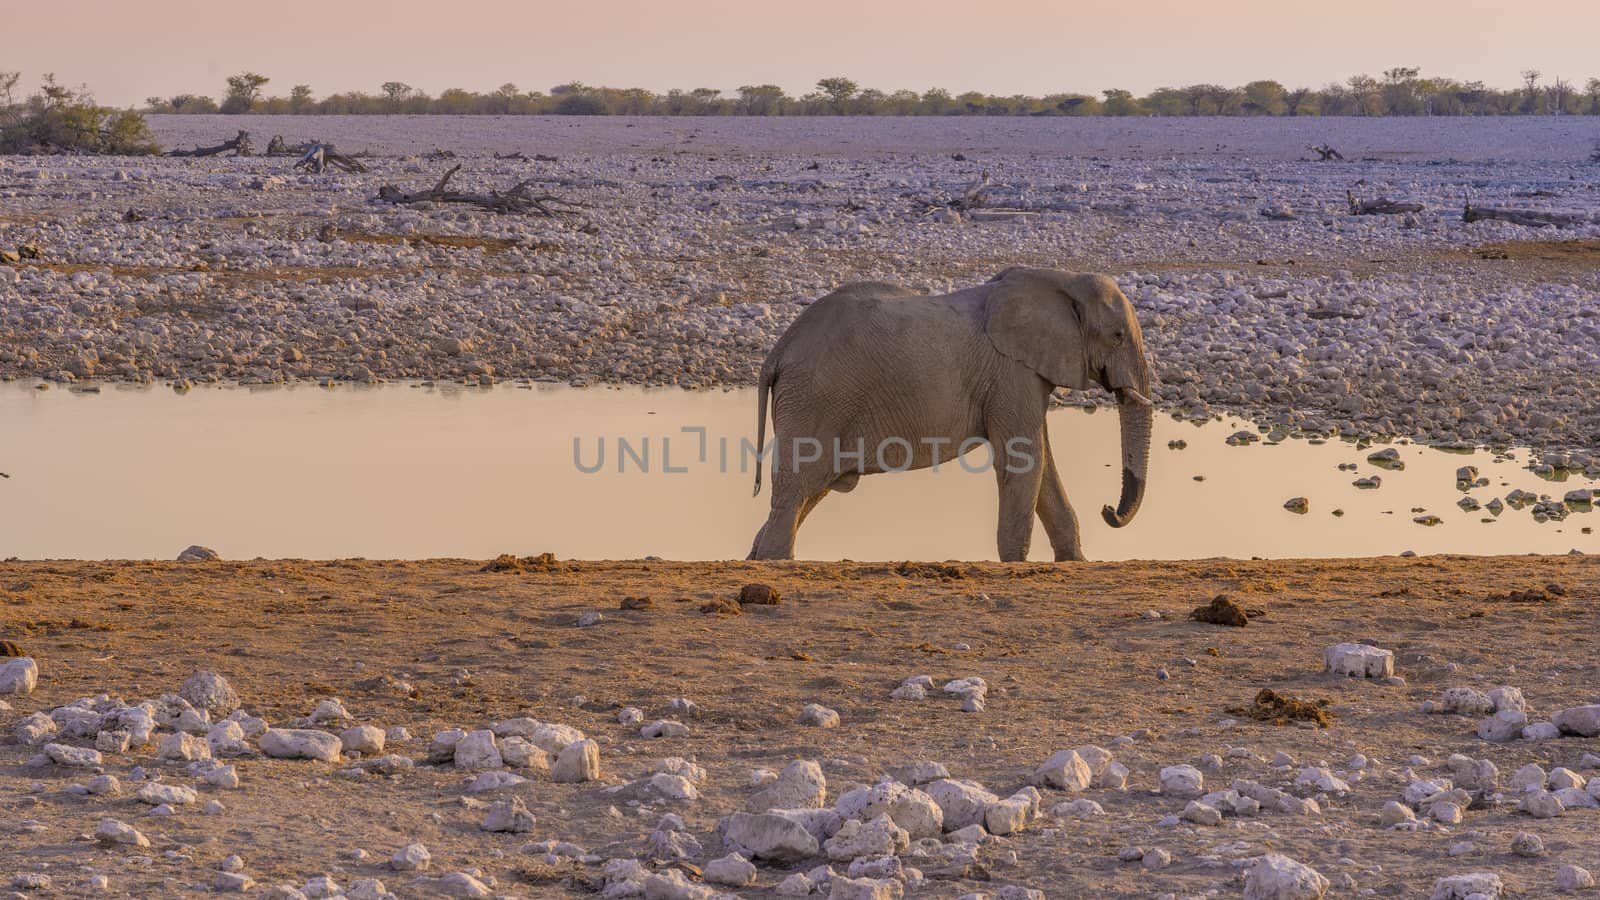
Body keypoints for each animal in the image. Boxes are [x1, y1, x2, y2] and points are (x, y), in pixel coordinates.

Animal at [748, 264, 1152, 560]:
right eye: (1117, 336)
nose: (1108, 510)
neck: (1061, 279)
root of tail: (778, 351)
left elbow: (1045, 464)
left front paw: (1075, 563)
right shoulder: (1011, 373)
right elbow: (1026, 461)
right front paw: (1015, 564)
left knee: (809, 491)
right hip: (815, 400)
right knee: (795, 491)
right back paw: (773, 562)